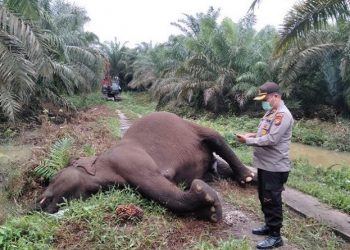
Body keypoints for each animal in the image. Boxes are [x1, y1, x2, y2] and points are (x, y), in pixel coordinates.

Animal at [37, 112, 254, 222]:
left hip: (193, 127)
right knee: (218, 168)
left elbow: (160, 188)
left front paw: (205, 197)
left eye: (53, 178)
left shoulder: (130, 161)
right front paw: (207, 210)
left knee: (215, 137)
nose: (36, 207)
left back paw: (247, 177)